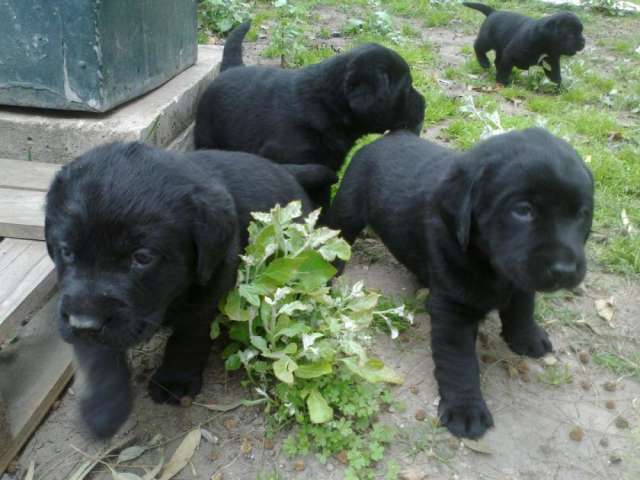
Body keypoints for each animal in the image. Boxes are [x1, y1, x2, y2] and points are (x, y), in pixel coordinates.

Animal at [44, 142, 336, 438]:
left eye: (142, 258)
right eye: (66, 251)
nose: (83, 324)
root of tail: (284, 170)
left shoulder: (208, 289)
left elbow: (187, 337)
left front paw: (174, 380)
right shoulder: (74, 303)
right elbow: (96, 352)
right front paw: (103, 405)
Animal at [330, 127, 596, 438]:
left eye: (581, 213)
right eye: (523, 210)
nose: (565, 269)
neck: (490, 266)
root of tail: (388, 136)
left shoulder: (520, 280)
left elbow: (522, 307)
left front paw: (526, 337)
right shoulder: (452, 308)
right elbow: (459, 362)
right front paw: (465, 410)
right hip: (347, 207)